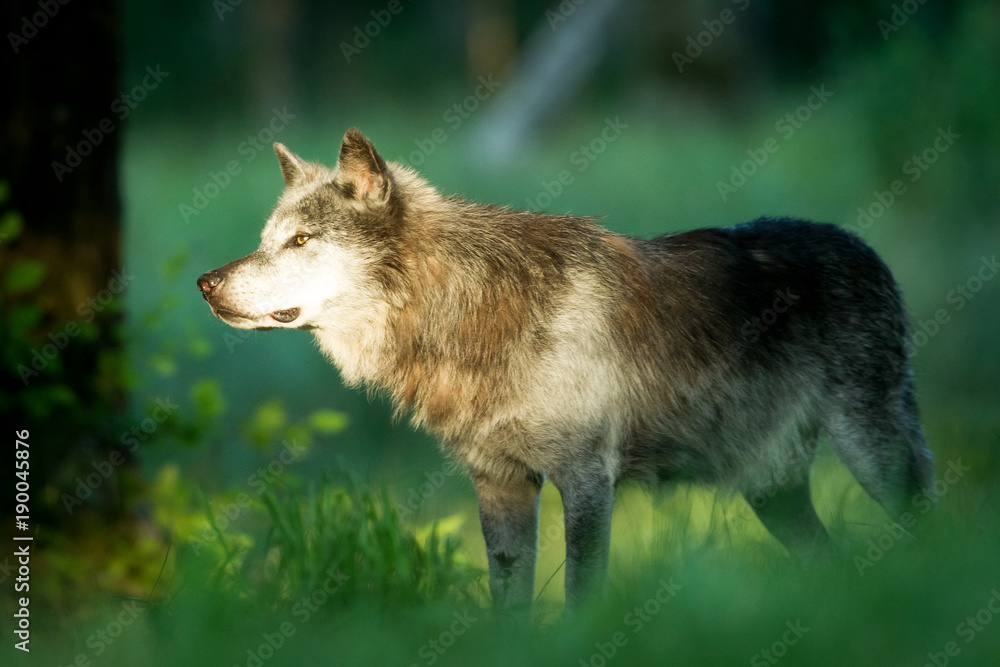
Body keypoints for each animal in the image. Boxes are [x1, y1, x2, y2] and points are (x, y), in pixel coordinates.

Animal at [197, 128, 934, 608]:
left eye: (300, 241)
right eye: (266, 241)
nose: (205, 282)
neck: (468, 313)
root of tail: (864, 244)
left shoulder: (585, 480)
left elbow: (582, 594)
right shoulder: (500, 487)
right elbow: (509, 605)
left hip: (872, 454)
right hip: (772, 490)